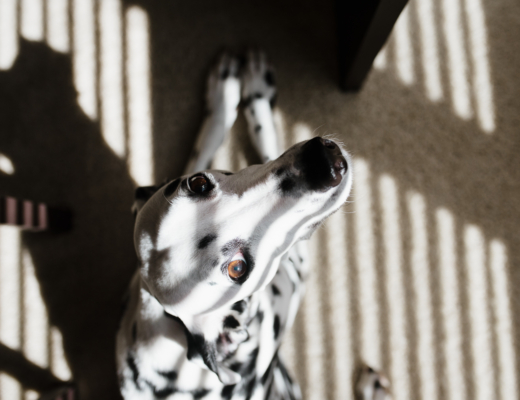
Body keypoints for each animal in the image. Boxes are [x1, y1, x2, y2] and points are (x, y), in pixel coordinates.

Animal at [116, 50, 370, 400]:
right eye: (238, 269)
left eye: (199, 183)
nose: (323, 163)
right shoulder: (297, 265)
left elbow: (203, 147)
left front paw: (227, 94)